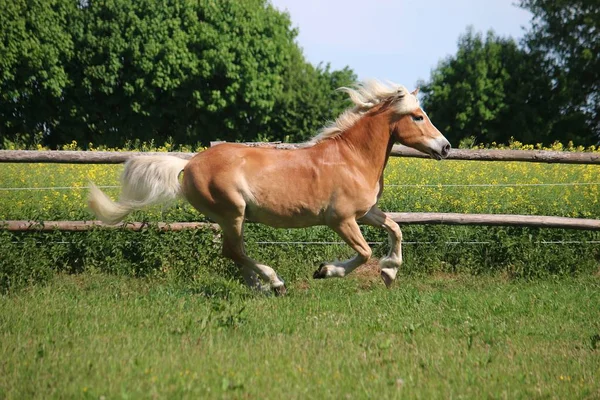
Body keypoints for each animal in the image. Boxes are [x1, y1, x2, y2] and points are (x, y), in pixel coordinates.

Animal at [89, 80, 450, 294]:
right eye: (418, 116)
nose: (445, 147)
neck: (352, 158)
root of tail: (188, 164)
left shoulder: (367, 212)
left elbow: (396, 229)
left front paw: (390, 273)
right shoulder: (341, 219)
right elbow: (364, 252)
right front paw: (325, 270)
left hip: (231, 218)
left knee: (234, 252)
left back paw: (260, 287)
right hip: (232, 213)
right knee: (233, 251)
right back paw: (274, 282)